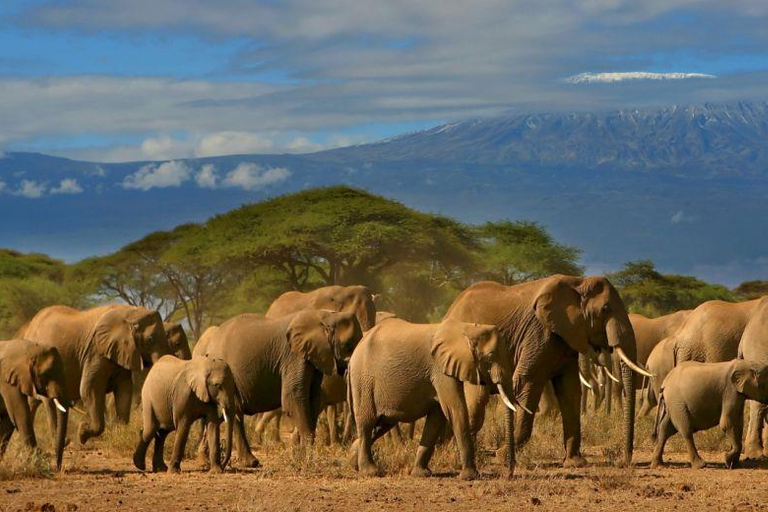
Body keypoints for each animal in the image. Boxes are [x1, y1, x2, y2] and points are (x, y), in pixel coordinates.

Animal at [0, 340, 70, 472]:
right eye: (46, 373)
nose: (57, 468)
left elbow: (7, 419)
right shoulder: (6, 381)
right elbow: (19, 414)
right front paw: (36, 465)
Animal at [19, 304, 171, 444]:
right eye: (150, 339)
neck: (133, 312)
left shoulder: (120, 352)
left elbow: (124, 391)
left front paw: (120, 433)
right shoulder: (95, 352)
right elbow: (89, 389)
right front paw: (82, 433)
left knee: (33, 402)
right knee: (48, 402)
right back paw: (61, 441)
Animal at [190, 308, 362, 468]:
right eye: (348, 345)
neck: (326, 315)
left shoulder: (313, 358)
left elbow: (313, 399)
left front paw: (300, 457)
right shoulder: (293, 356)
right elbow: (293, 397)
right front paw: (307, 461)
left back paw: (213, 461)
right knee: (234, 413)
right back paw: (247, 462)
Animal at [346, 318, 516, 478]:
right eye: (490, 356)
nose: (509, 474)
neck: (467, 328)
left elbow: (437, 418)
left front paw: (421, 474)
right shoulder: (440, 370)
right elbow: (455, 410)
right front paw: (470, 476)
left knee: (382, 424)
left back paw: (353, 461)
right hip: (363, 380)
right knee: (367, 422)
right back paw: (370, 472)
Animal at [444, 276, 648, 468]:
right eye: (605, 309)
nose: (624, 461)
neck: (578, 282)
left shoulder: (566, 338)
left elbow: (570, 391)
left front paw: (575, 463)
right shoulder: (539, 333)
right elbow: (528, 384)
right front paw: (502, 456)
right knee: (476, 401)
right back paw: (456, 457)